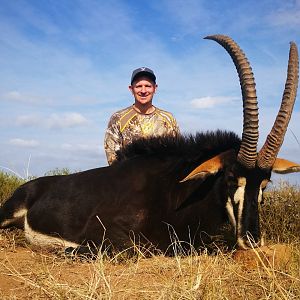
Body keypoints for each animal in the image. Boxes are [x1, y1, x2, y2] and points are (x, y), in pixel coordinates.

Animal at [0, 35, 300, 255]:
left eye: (264, 184)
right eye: (229, 178)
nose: (252, 240)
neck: (174, 191)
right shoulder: (105, 232)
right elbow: (131, 248)